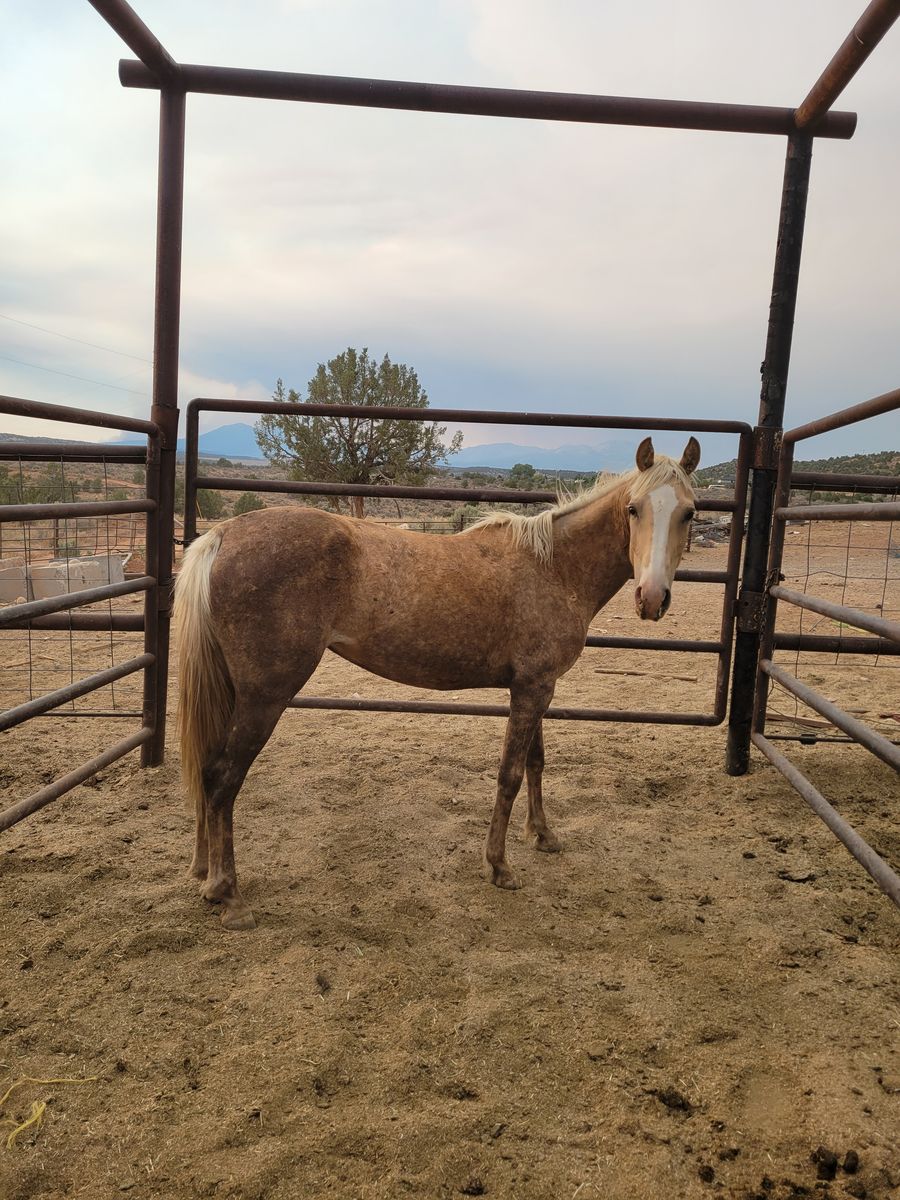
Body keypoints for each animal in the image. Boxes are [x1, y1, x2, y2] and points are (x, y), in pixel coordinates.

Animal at [175, 436, 700, 930]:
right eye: (633, 509)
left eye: (689, 513)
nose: (651, 598)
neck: (554, 567)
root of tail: (223, 533)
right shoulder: (531, 690)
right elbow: (510, 774)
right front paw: (499, 866)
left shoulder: (538, 686)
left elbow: (536, 763)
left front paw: (543, 836)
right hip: (265, 697)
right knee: (223, 779)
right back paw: (229, 896)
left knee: (205, 770)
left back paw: (203, 873)